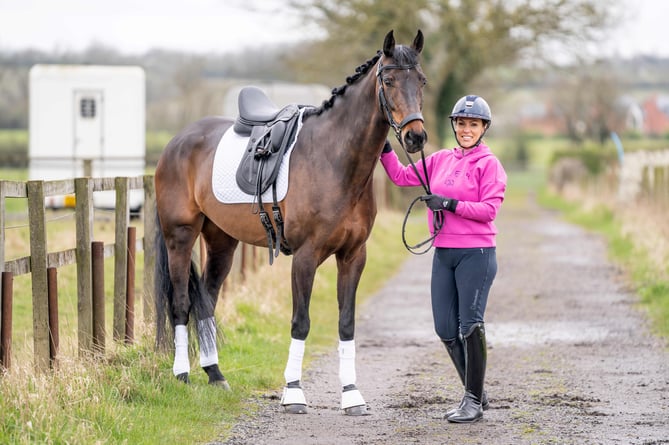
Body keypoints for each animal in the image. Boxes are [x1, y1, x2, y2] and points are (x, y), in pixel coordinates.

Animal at [155, 29, 428, 414]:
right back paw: (182, 376)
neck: (334, 159)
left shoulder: (353, 256)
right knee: (181, 302)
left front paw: (351, 395)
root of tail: (176, 142)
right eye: (388, 81)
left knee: (205, 300)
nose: (416, 137)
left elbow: (347, 323)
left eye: (421, 81)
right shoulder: (305, 257)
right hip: (180, 236)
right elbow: (301, 322)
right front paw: (294, 392)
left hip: (221, 240)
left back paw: (216, 375)